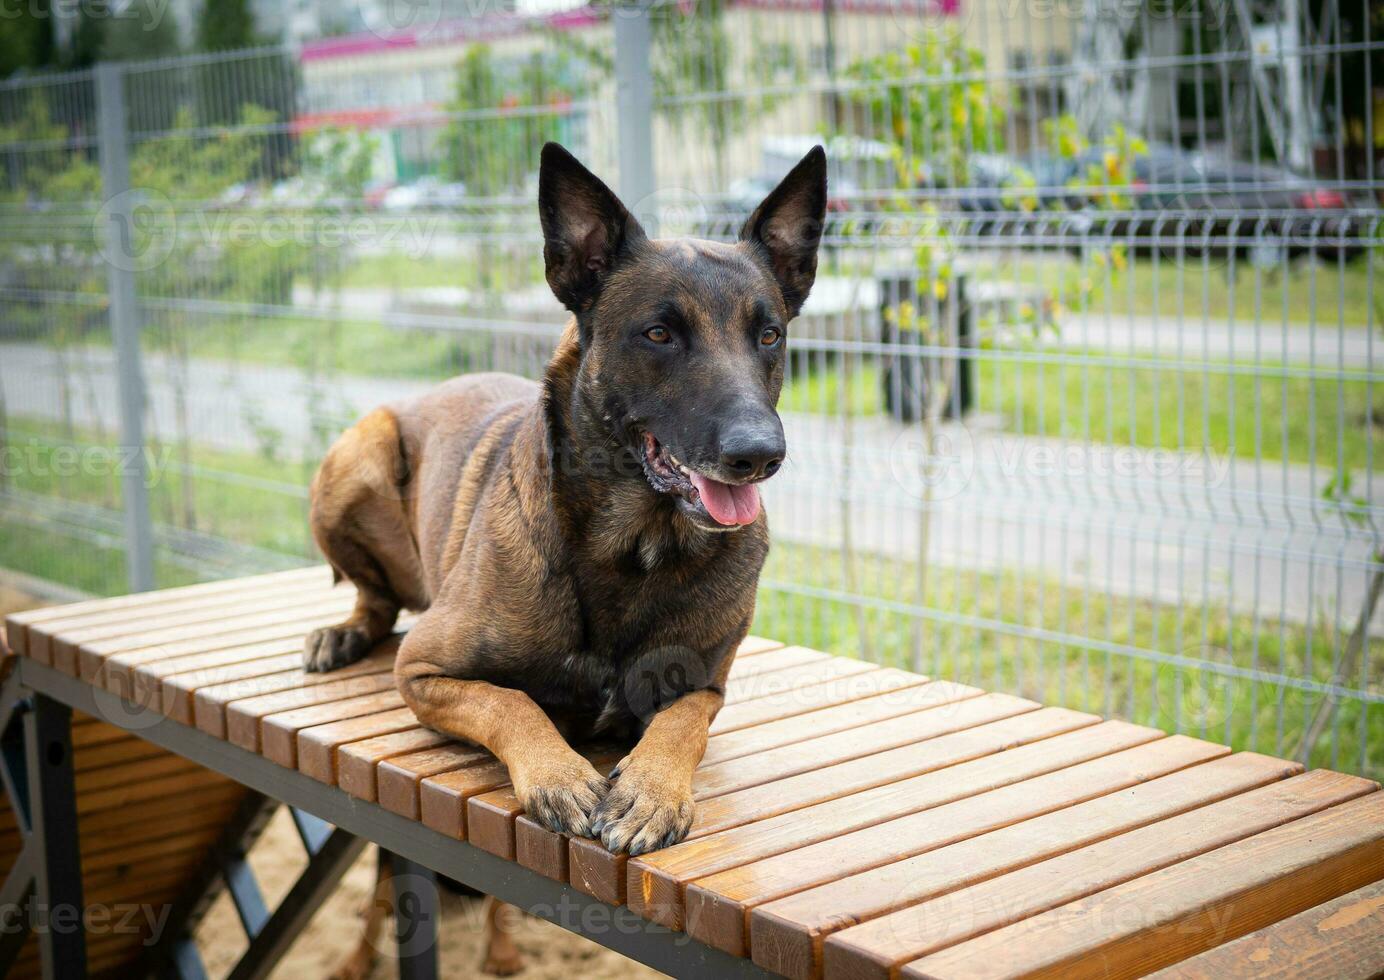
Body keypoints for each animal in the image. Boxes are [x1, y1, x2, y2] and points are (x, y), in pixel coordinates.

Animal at [312, 141, 819, 974]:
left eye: (769, 335)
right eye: (659, 334)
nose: (759, 454)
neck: (634, 549)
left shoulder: (706, 686)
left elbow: (680, 722)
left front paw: (650, 790)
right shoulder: (423, 670)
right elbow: (509, 701)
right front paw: (558, 775)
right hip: (356, 454)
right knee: (375, 599)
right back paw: (342, 632)